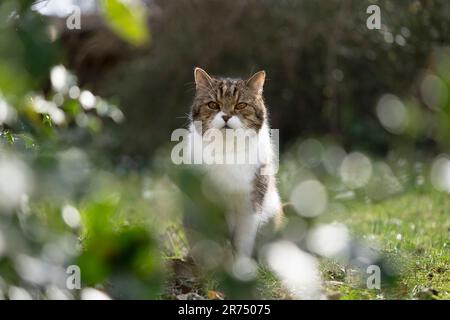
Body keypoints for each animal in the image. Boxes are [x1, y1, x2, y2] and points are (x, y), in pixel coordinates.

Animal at [186, 67, 282, 258]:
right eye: (213, 105)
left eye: (241, 105)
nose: (226, 116)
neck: (227, 149)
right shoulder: (208, 201)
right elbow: (215, 237)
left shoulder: (252, 200)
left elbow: (244, 239)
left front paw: (241, 264)